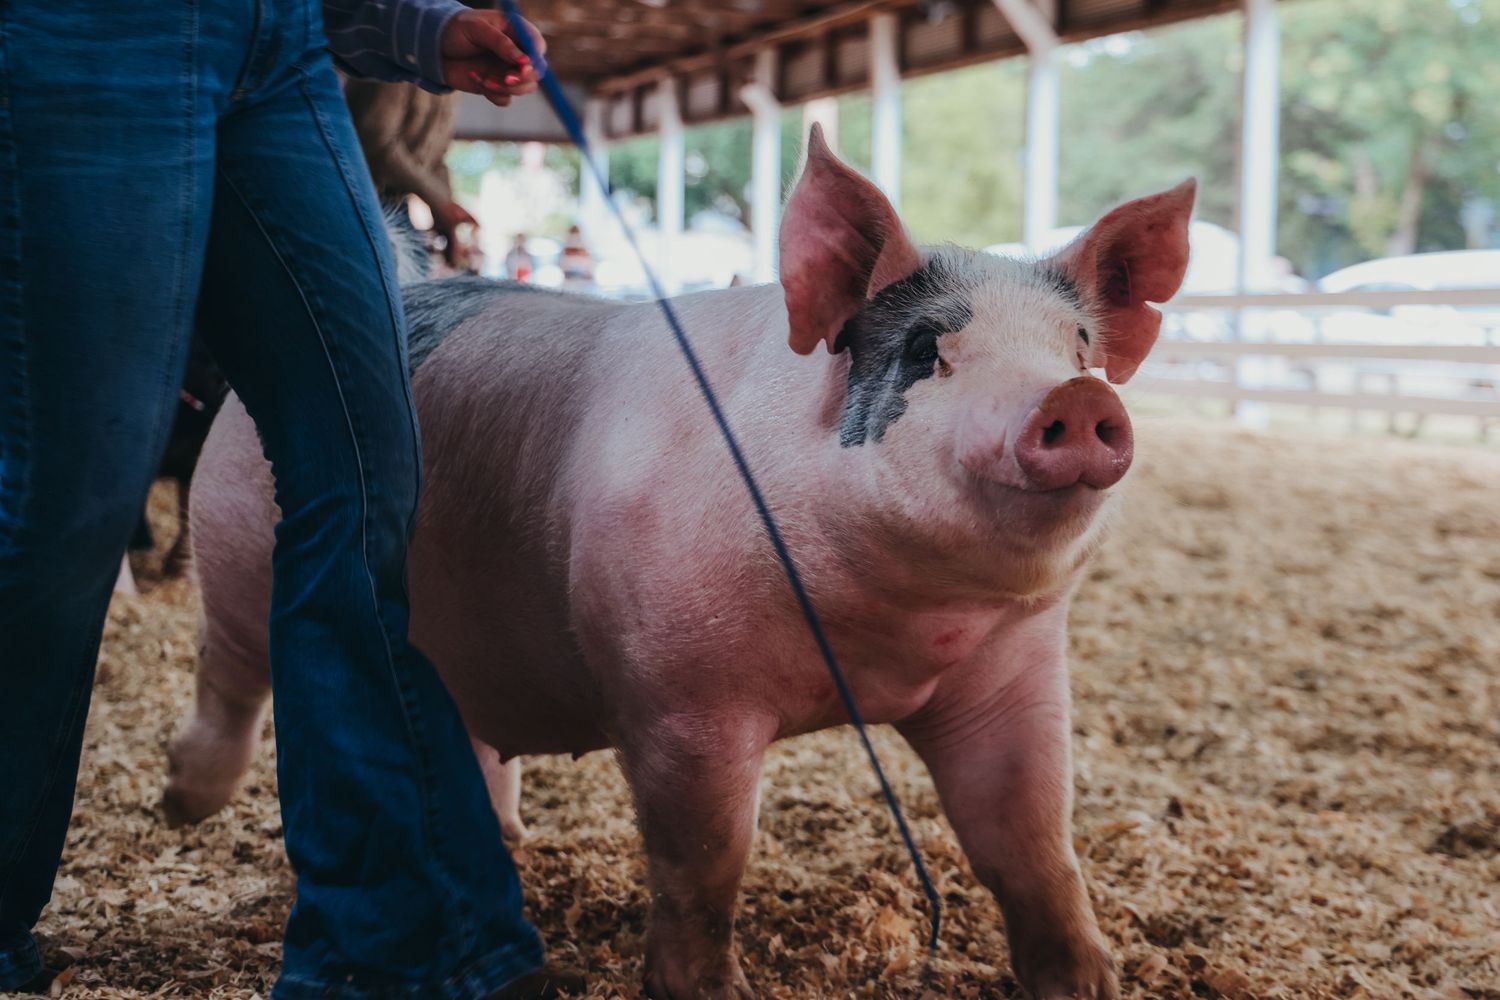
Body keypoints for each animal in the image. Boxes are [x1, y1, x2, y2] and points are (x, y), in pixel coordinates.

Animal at [163, 126, 1193, 1000]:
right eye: (923, 349)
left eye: (1080, 347)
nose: (1075, 399)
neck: (879, 646)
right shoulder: (679, 688)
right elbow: (707, 853)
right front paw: (705, 989)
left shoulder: (1010, 670)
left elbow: (1030, 835)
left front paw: (1091, 984)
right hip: (241, 550)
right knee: (231, 675)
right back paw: (183, 806)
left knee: (466, 735)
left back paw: (507, 839)